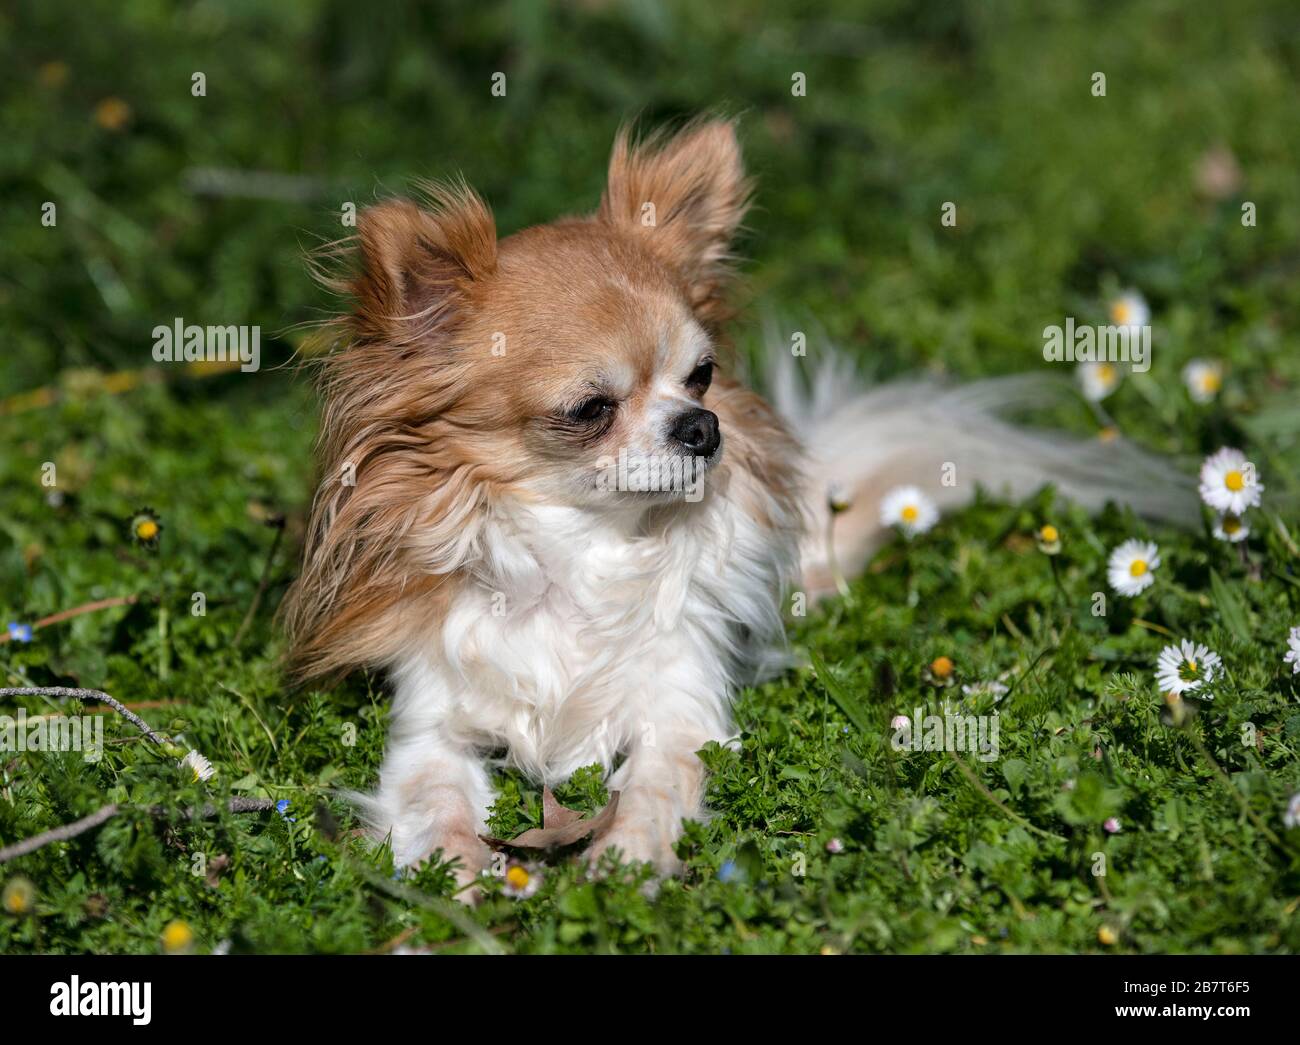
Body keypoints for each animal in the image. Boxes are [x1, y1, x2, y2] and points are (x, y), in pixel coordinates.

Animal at [282, 118, 1190, 894]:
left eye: (703, 375)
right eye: (590, 409)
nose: (702, 426)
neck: (585, 549)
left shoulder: (679, 711)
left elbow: (657, 782)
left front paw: (626, 861)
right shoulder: (431, 724)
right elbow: (435, 797)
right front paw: (454, 878)